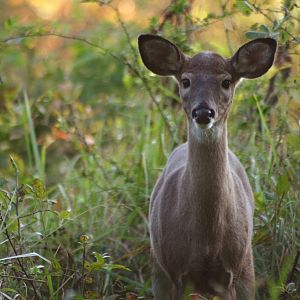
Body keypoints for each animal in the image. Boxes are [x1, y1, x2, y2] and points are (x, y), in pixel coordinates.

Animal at [138, 34, 276, 298]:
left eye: (226, 81)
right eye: (185, 80)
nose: (203, 112)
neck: (206, 242)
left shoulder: (231, 275)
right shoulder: (174, 273)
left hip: (247, 266)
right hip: (158, 268)